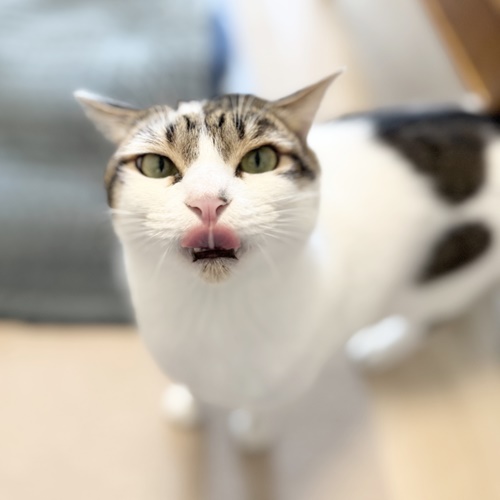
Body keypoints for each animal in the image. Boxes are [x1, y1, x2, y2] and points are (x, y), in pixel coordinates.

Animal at [75, 71, 500, 449]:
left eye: (259, 160)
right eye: (156, 165)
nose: (207, 201)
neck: (214, 312)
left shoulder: (287, 380)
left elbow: (267, 407)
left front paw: (254, 433)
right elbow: (190, 382)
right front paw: (188, 402)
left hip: (450, 276)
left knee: (431, 317)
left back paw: (381, 345)